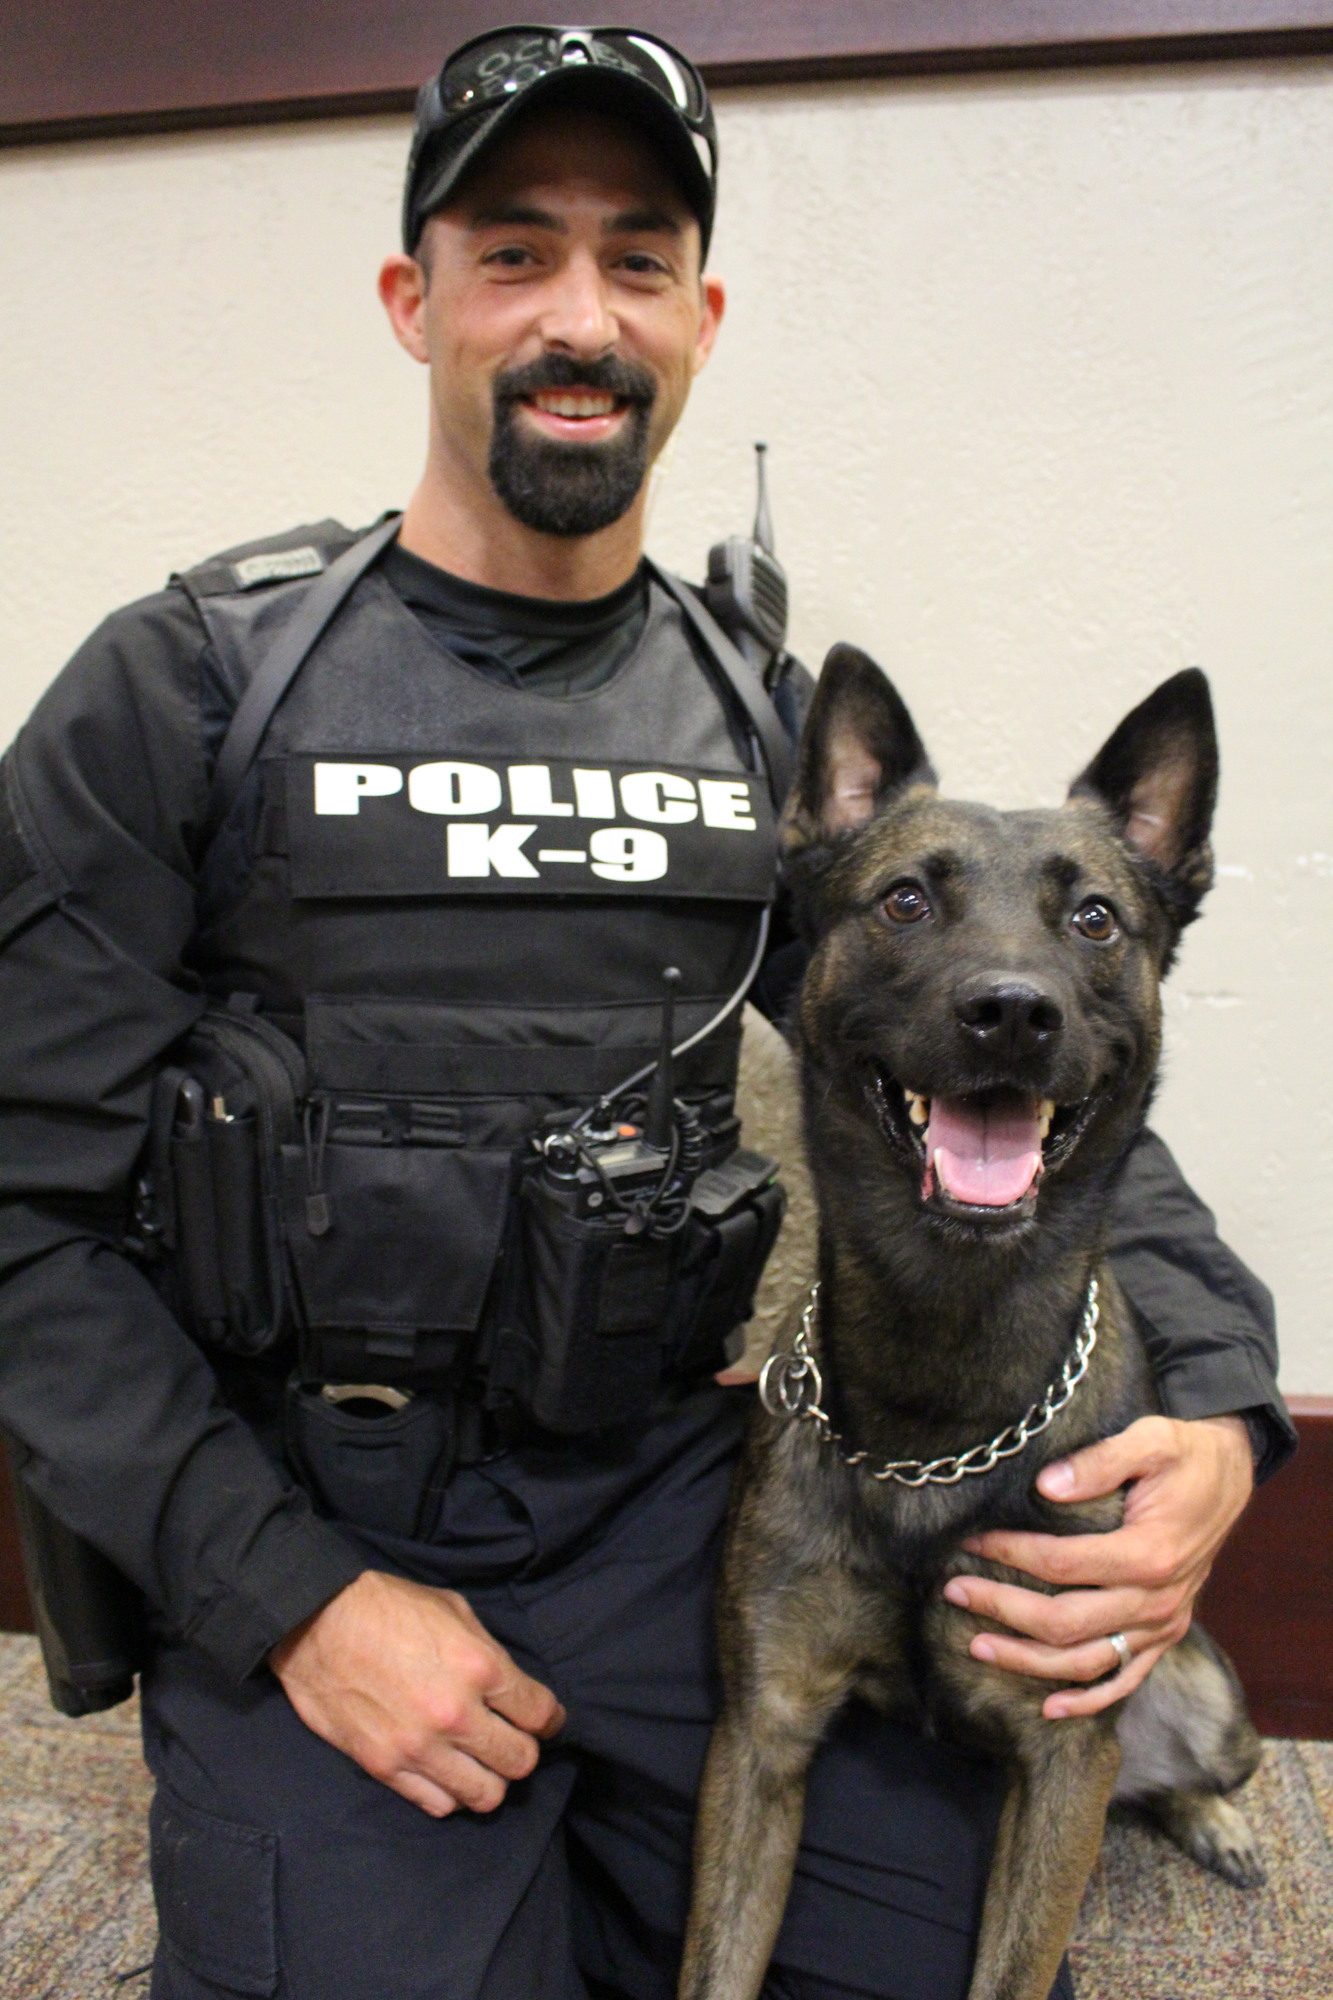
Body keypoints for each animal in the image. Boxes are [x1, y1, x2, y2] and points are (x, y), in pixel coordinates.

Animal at [680, 656, 1264, 2000]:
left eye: (1094, 919)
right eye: (904, 900)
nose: (1011, 1012)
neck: (937, 1376)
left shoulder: (1058, 1768)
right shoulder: (760, 1739)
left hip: (1198, 1694)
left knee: (1172, 1767)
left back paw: (1215, 1817)